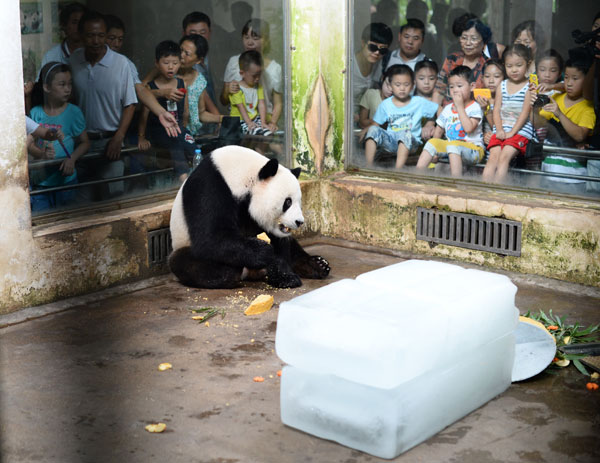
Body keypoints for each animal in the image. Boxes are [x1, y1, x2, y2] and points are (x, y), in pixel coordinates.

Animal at [166, 146, 330, 290]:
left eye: (299, 201)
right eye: (288, 202)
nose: (299, 222)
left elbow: (280, 244)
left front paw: (285, 277)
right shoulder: (210, 187)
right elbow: (211, 238)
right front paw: (263, 251)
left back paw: (318, 265)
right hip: (183, 246)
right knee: (184, 262)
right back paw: (226, 273)